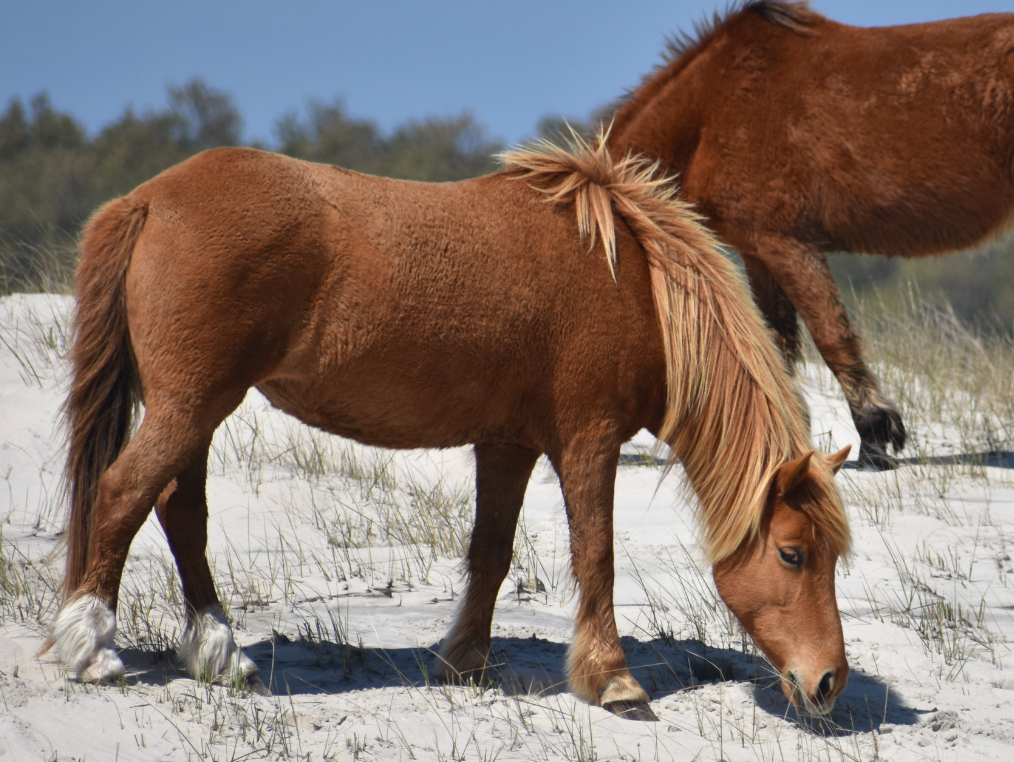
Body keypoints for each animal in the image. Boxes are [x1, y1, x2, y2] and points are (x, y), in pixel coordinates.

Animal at [48, 134, 852, 718]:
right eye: (793, 554)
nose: (829, 682)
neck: (635, 283)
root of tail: (148, 199)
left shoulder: (508, 444)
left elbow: (490, 554)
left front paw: (461, 660)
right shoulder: (588, 441)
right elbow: (596, 556)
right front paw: (614, 681)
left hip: (197, 410)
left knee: (178, 510)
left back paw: (218, 652)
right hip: (190, 405)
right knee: (122, 496)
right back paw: (93, 647)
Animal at [606, 0, 1014, 470]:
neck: (713, 107)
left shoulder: (790, 245)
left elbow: (832, 338)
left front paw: (875, 442)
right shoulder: (759, 253)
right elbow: (776, 345)